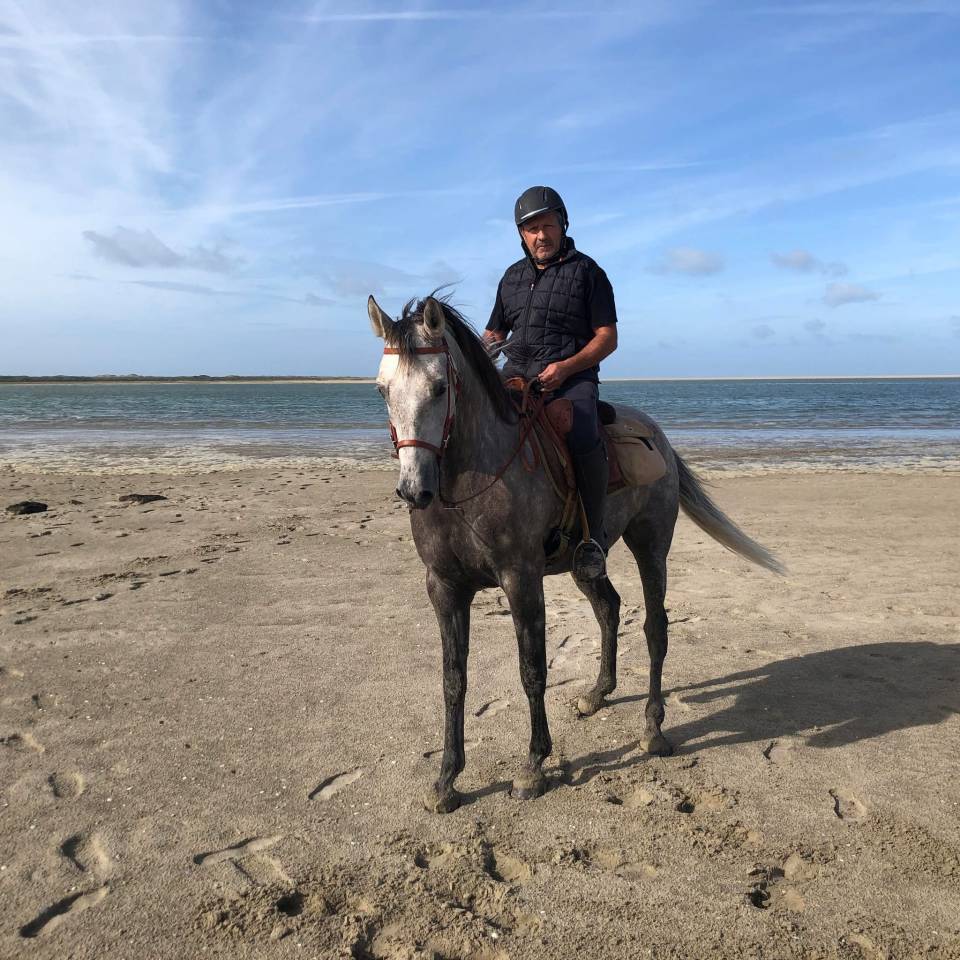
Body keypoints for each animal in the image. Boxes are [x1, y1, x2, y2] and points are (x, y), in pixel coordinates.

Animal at [368, 293, 784, 814]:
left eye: (440, 387)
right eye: (382, 390)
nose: (414, 490)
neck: (470, 482)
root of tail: (657, 436)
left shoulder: (521, 580)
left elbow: (531, 671)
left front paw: (532, 767)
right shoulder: (444, 588)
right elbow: (453, 680)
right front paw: (446, 779)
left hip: (651, 546)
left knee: (655, 628)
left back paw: (653, 729)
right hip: (586, 561)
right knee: (609, 608)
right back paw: (598, 693)